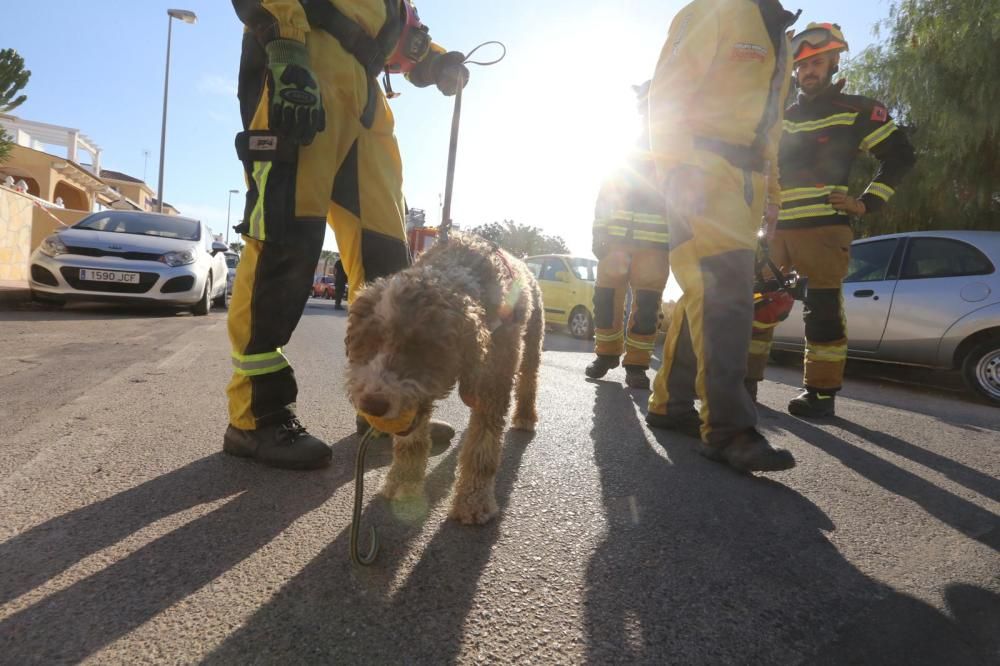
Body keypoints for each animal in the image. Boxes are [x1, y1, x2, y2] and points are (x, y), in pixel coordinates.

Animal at [346, 233, 548, 524]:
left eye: (420, 347)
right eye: (369, 341)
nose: (372, 405)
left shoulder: (494, 380)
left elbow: (482, 447)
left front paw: (474, 499)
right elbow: (411, 441)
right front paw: (402, 481)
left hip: (533, 338)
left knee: (529, 378)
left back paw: (525, 415)